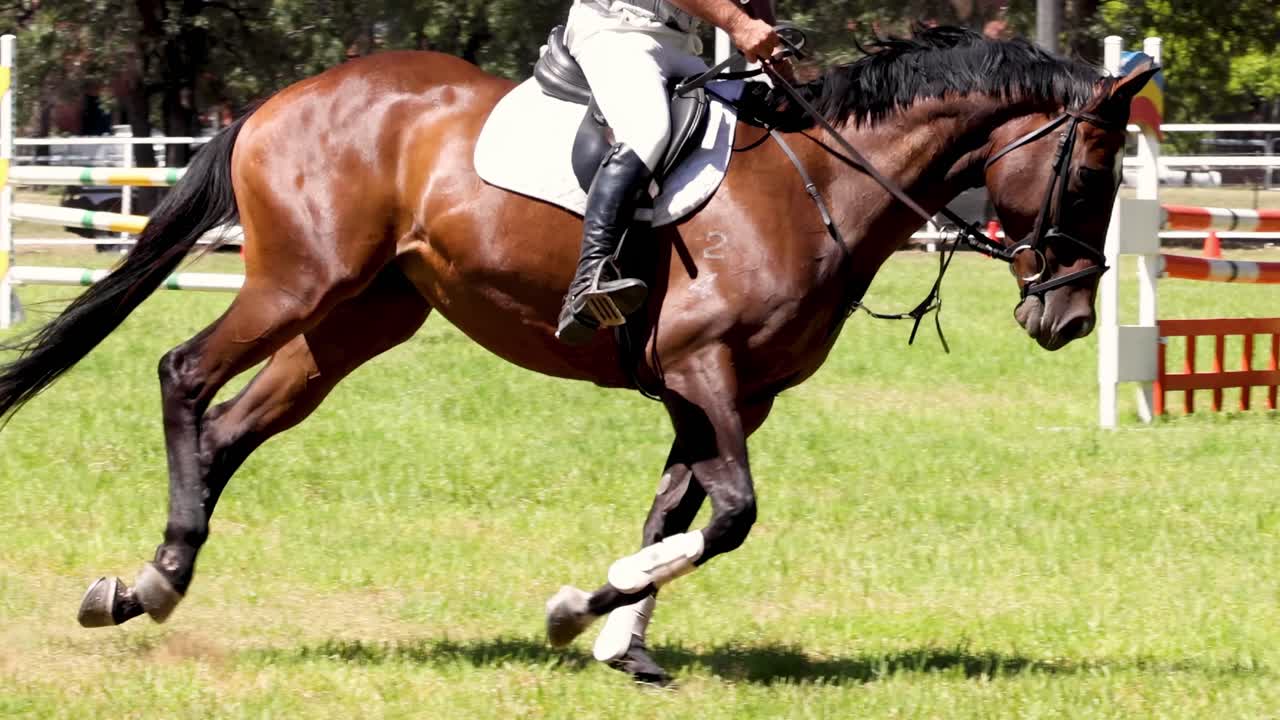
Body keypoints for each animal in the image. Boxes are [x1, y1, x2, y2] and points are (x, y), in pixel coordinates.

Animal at [0, 26, 1155, 685]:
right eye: (1093, 175)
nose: (1066, 321)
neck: (822, 185)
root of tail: (278, 100)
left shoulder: (732, 395)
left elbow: (676, 514)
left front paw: (616, 637)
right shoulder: (701, 369)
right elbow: (731, 514)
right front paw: (581, 616)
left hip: (358, 322)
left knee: (235, 425)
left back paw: (150, 582)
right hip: (298, 283)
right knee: (185, 376)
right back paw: (153, 578)